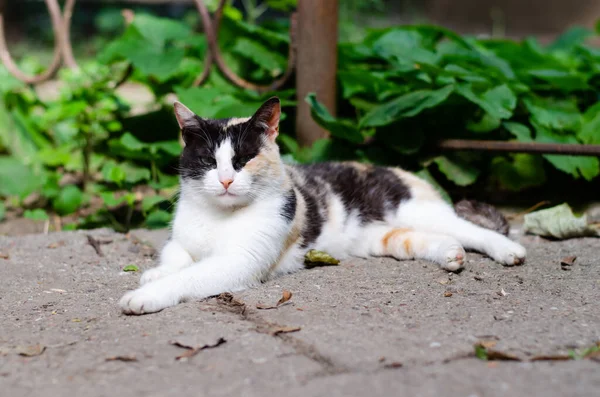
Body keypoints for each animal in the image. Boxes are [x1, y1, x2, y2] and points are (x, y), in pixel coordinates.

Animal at [118, 96, 524, 312]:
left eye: (244, 159)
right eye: (206, 162)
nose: (226, 180)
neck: (219, 217)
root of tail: (395, 168)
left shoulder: (240, 262)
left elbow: (191, 275)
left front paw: (145, 295)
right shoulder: (181, 240)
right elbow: (177, 257)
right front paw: (156, 273)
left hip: (412, 207)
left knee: (467, 227)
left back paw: (508, 250)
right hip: (378, 237)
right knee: (420, 238)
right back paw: (450, 254)